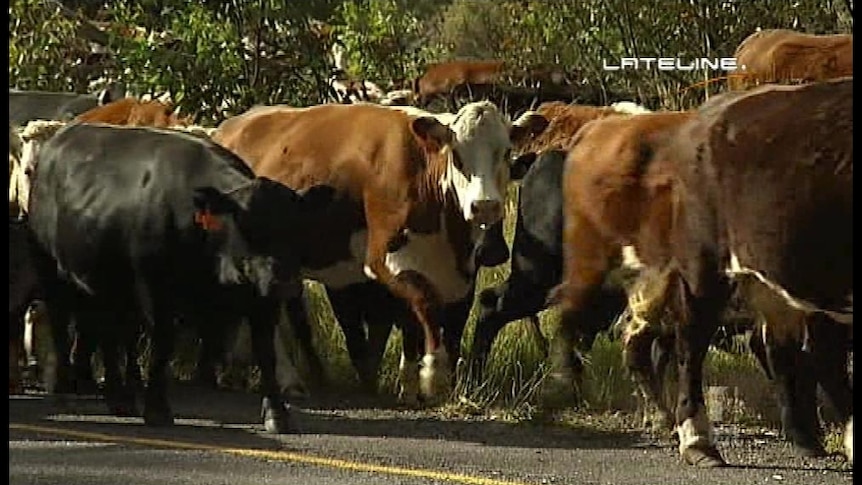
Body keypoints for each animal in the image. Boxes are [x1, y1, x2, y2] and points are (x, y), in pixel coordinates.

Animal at [214, 102, 548, 400]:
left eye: (505, 152)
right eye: (456, 155)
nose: (485, 206)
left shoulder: (461, 275)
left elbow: (431, 324)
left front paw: (419, 384)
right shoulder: (382, 261)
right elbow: (424, 304)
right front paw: (432, 374)